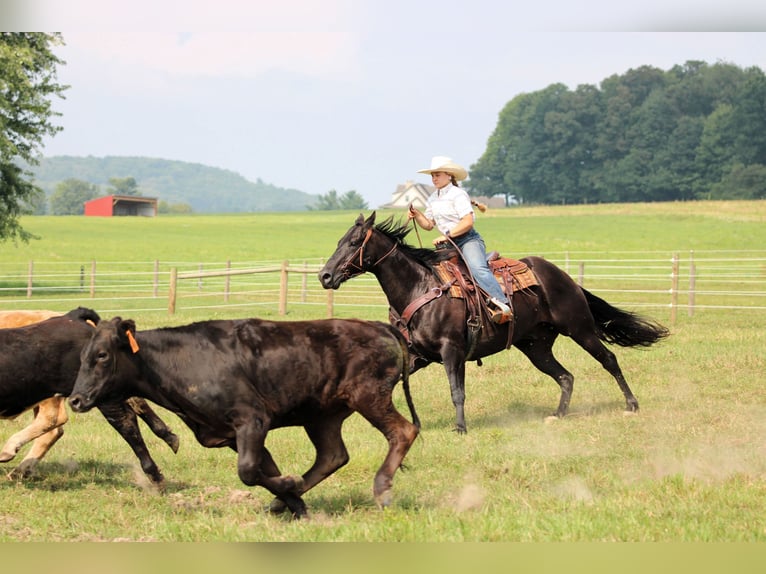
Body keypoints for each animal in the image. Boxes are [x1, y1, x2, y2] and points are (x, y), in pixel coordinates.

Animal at [319, 212, 670, 434]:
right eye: (338, 241)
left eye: (354, 242)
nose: (325, 276)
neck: (420, 287)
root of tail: (561, 275)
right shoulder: (417, 355)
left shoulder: (452, 351)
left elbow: (457, 391)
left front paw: (460, 428)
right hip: (536, 346)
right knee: (565, 376)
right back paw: (558, 415)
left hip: (579, 328)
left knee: (608, 359)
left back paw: (631, 405)